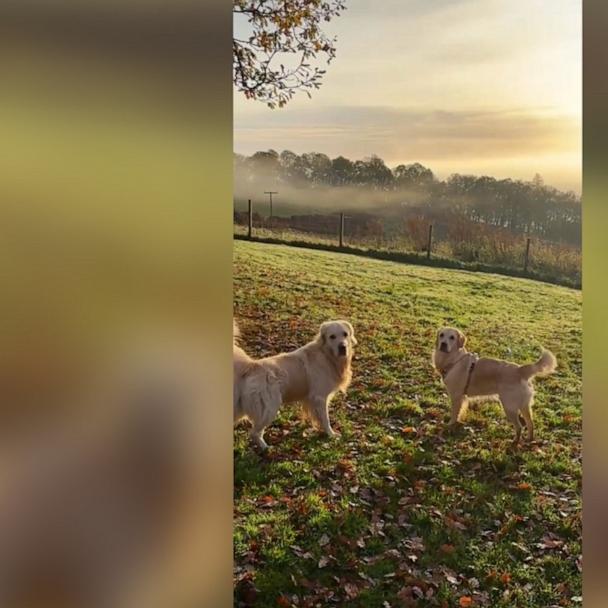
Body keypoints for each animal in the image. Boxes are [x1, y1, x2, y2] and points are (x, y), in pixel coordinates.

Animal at [233, 320, 356, 448]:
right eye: (332, 336)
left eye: (345, 334)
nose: (342, 347)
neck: (326, 355)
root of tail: (251, 366)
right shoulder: (319, 397)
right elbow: (325, 419)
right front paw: (331, 434)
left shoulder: (309, 399)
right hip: (269, 408)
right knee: (254, 432)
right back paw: (266, 448)